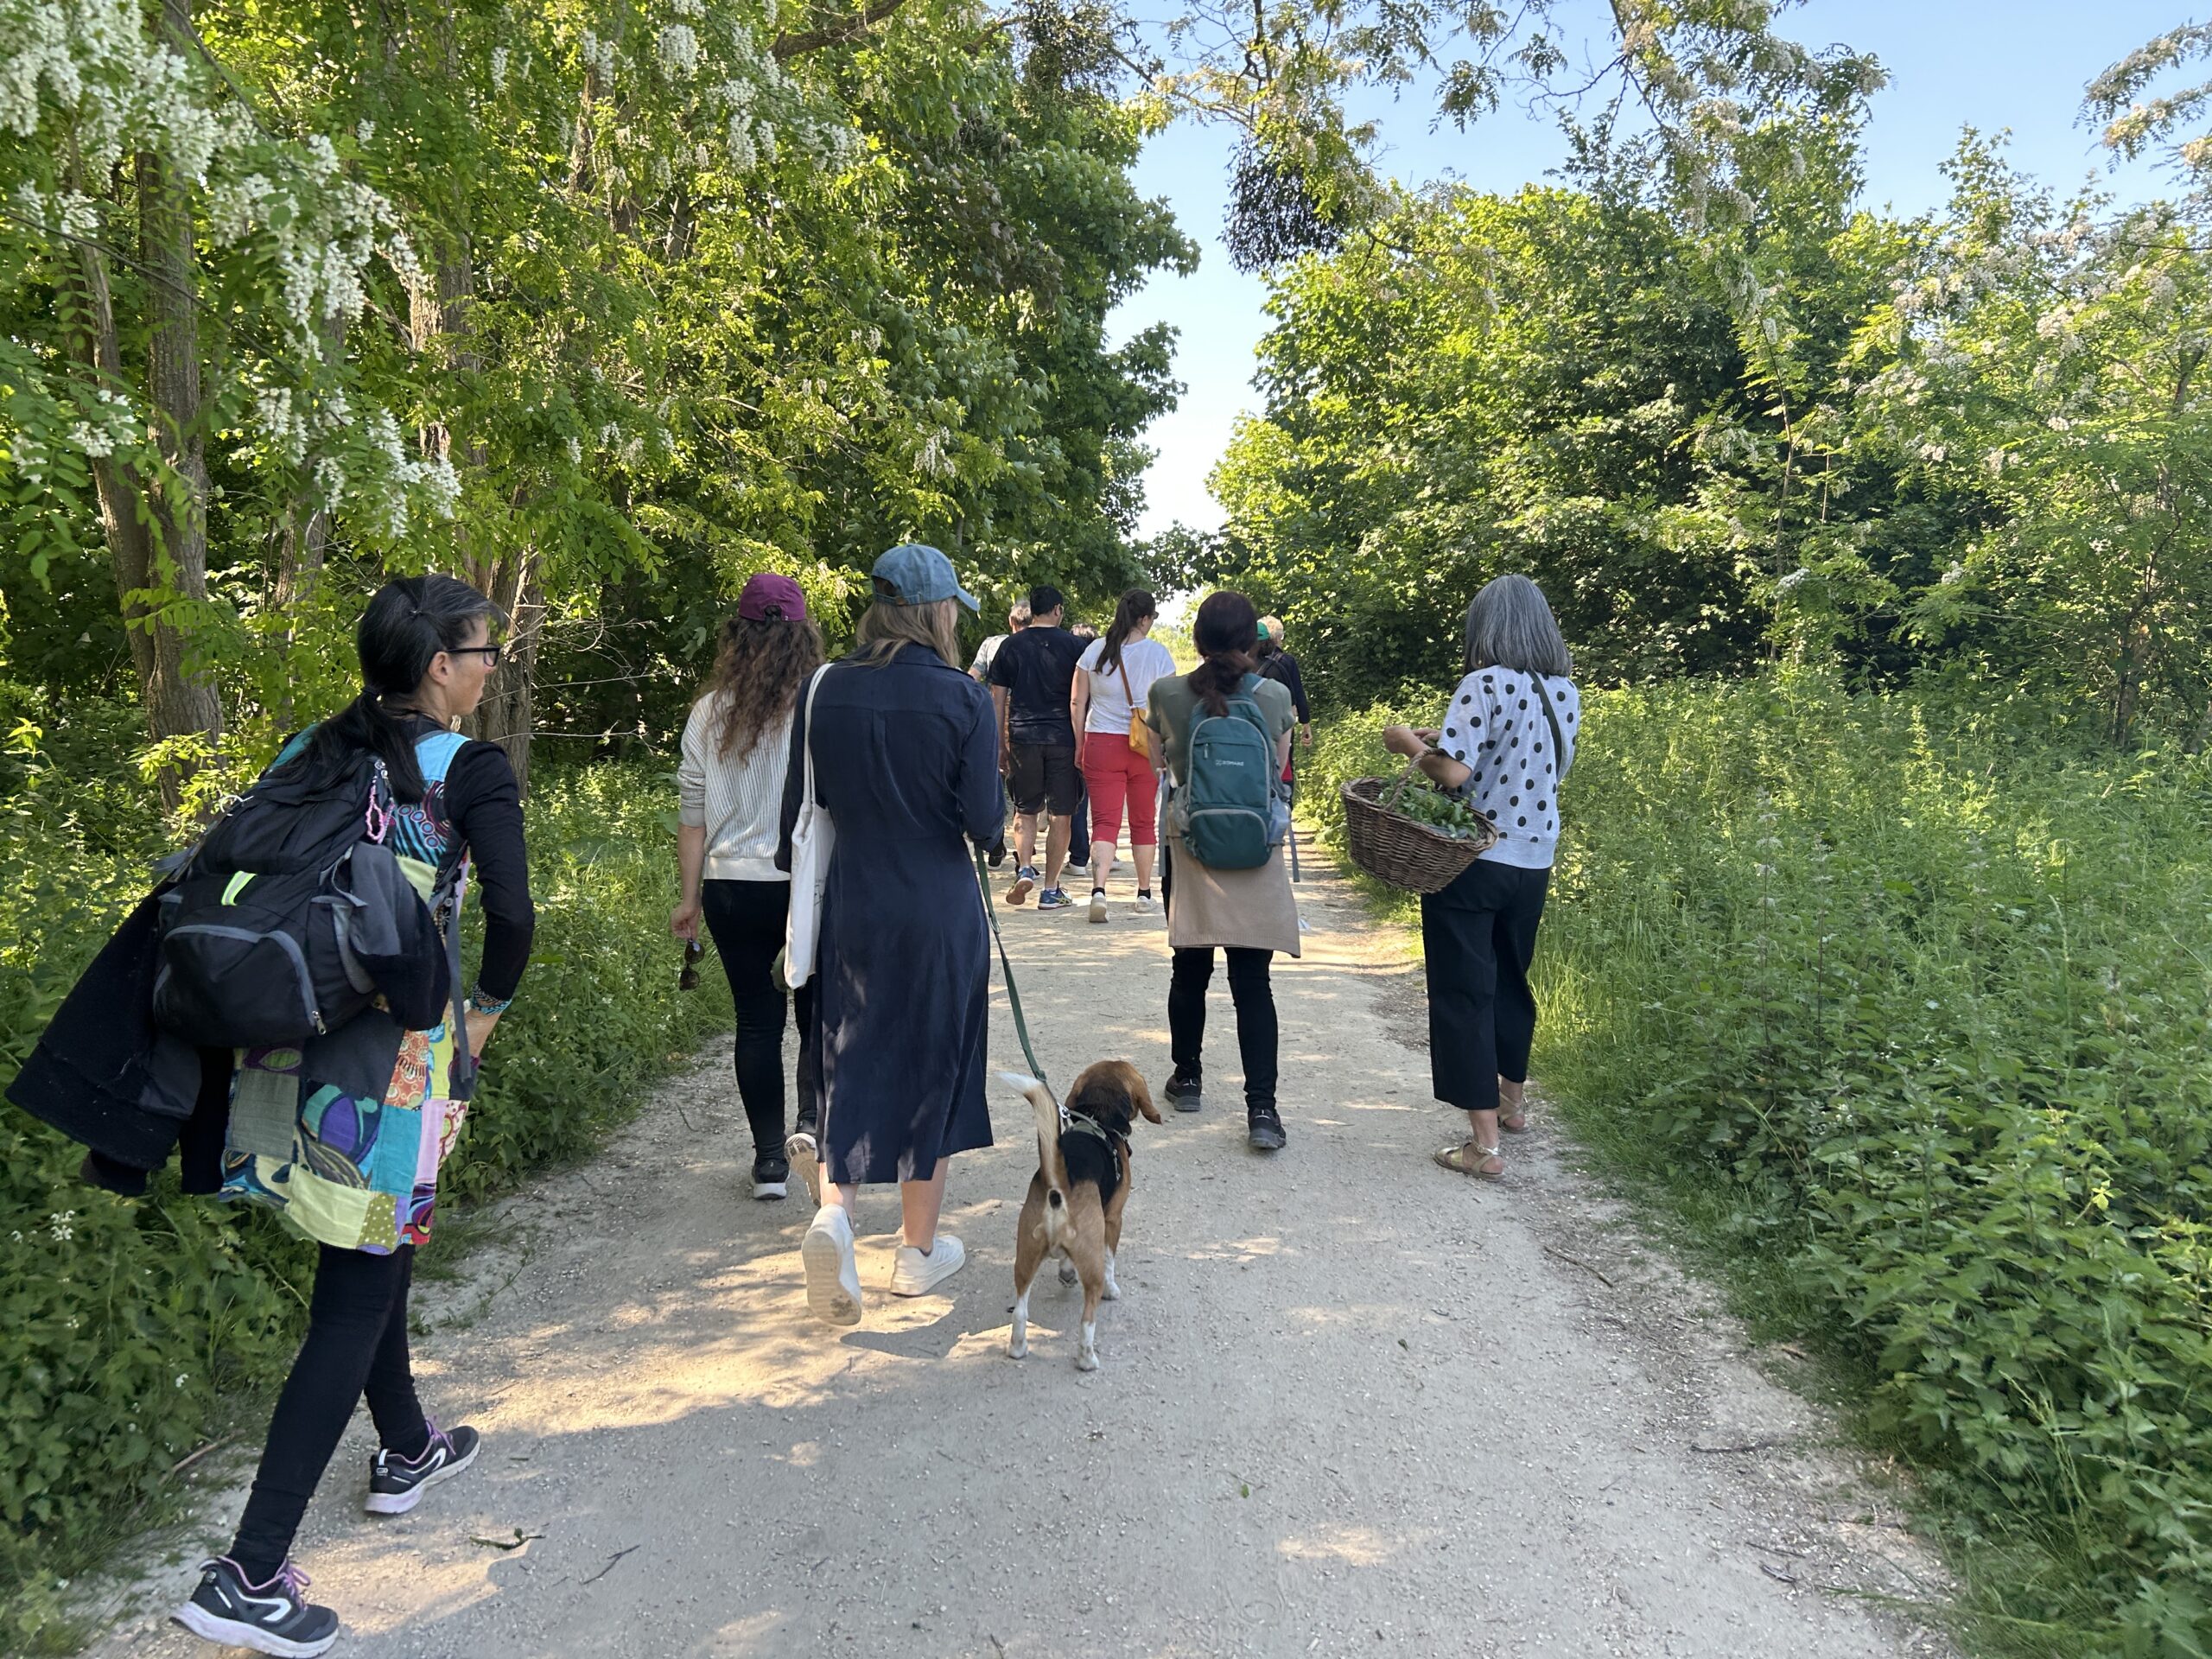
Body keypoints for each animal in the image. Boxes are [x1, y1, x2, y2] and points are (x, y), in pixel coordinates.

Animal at [999, 1062, 1161, 1371]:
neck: (1099, 1116)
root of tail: (1058, 1184)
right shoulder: (1113, 1219)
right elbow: (1111, 1261)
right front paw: (1113, 1289)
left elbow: (1065, 1260)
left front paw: (1065, 1273)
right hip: (1090, 1263)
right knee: (1087, 1319)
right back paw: (1087, 1359)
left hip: (1025, 1257)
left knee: (1019, 1312)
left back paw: (1018, 1348)